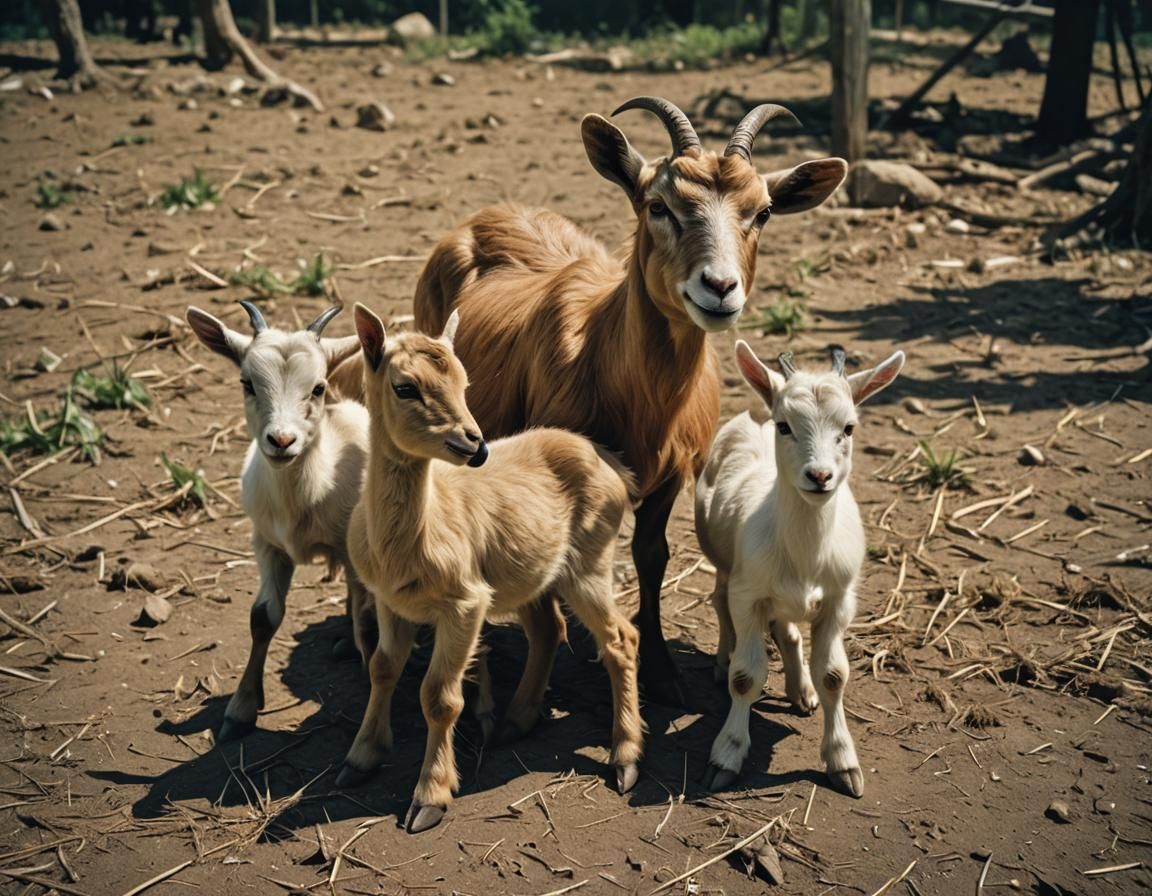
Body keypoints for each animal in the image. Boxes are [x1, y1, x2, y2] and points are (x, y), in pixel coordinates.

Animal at [185, 302, 374, 742]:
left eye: (319, 387)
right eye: (247, 383)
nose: (282, 441)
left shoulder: (354, 549)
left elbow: (368, 622)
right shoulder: (267, 543)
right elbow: (263, 617)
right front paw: (241, 708)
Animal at [338, 303, 643, 834]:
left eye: (464, 382)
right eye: (405, 387)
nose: (474, 443)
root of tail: (616, 468)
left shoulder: (466, 601)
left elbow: (439, 696)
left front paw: (429, 799)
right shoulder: (389, 600)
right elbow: (381, 666)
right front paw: (360, 758)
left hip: (589, 562)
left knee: (621, 638)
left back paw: (625, 761)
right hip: (534, 576)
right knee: (549, 628)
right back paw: (514, 722)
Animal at [411, 97, 847, 707]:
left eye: (762, 212)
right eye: (657, 205)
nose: (719, 287)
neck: (642, 402)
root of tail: (488, 215)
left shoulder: (671, 477)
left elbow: (651, 555)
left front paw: (662, 672)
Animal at [695, 341, 904, 798]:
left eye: (849, 428)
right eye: (785, 426)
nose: (820, 475)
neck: (805, 555)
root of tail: (750, 416)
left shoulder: (840, 600)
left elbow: (834, 675)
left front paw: (843, 762)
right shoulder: (748, 594)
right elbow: (745, 677)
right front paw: (726, 756)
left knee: (788, 630)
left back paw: (800, 690)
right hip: (722, 561)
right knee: (719, 602)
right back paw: (720, 661)